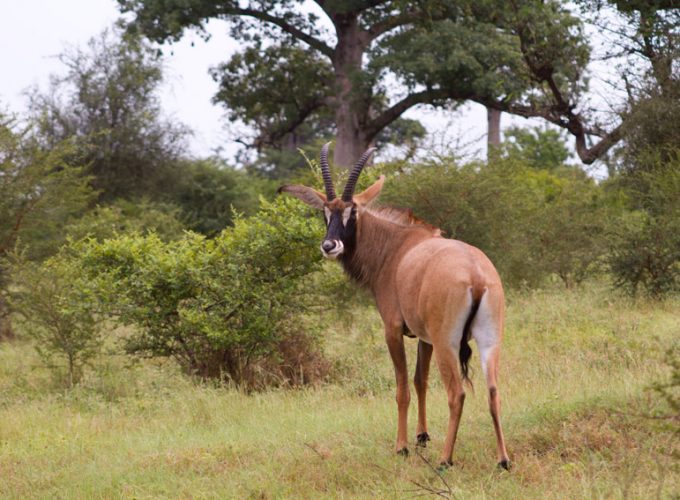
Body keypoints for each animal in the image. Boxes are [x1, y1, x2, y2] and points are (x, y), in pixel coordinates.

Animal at [278, 144, 508, 468]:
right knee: (493, 390)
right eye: (325, 211)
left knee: (457, 393)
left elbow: (402, 388)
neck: (395, 247)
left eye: (352, 211)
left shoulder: (393, 329)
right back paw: (503, 460)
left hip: (447, 342)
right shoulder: (424, 337)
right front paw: (422, 436)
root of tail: (475, 276)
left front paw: (402, 446)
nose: (329, 246)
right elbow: (420, 380)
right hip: (489, 340)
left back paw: (445, 459)